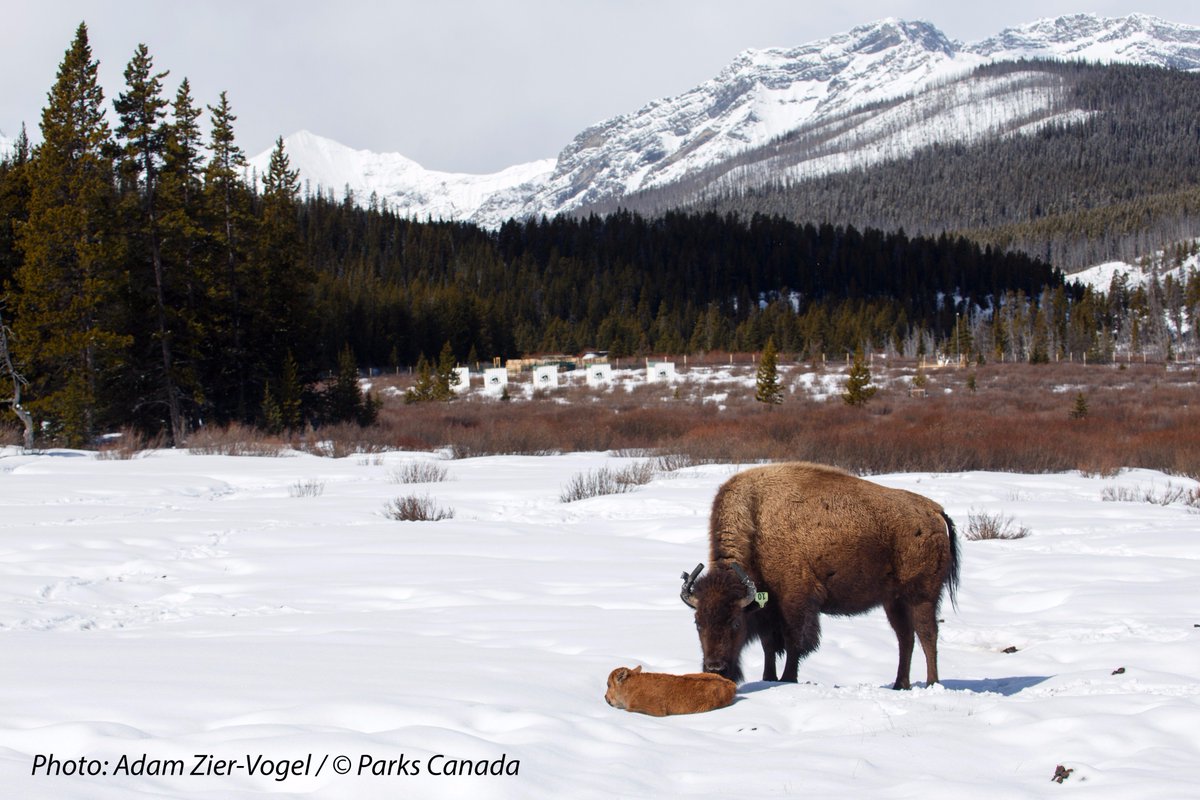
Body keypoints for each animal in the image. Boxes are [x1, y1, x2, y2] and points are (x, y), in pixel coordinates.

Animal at [680, 462, 960, 689]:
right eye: (698, 623)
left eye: (735, 623)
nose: (716, 668)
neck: (756, 524)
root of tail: (935, 511)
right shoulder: (767, 608)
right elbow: (769, 645)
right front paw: (768, 678)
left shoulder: (795, 600)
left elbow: (794, 642)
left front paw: (787, 679)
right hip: (894, 601)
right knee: (905, 638)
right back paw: (900, 685)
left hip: (921, 595)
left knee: (927, 634)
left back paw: (932, 684)